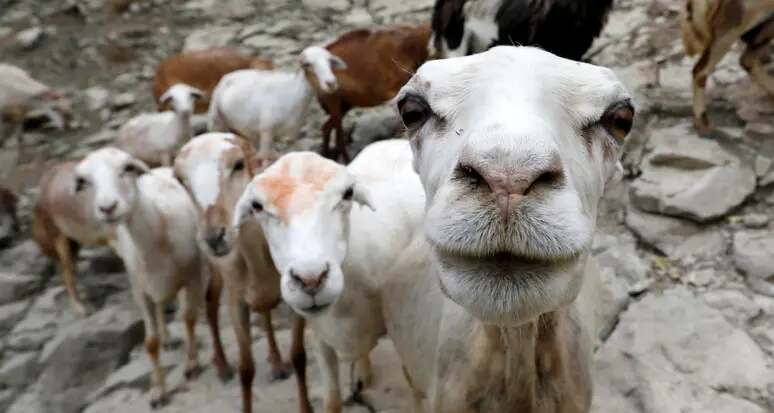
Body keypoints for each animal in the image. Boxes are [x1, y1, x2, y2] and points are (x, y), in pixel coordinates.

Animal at [72, 147, 219, 408]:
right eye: (85, 181)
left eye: (126, 169)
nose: (107, 208)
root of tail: (160, 169)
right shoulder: (140, 290)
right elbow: (150, 343)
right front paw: (158, 390)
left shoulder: (193, 275)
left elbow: (189, 317)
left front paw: (192, 364)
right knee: (161, 306)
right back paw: (167, 337)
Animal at [172, 132, 311, 413]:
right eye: (180, 179)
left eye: (238, 164)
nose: (214, 237)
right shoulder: (236, 301)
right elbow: (246, 370)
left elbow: (299, 356)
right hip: (213, 270)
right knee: (210, 305)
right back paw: (222, 366)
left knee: (264, 312)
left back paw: (277, 363)